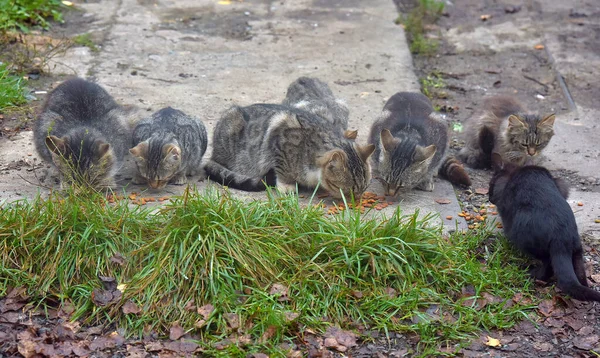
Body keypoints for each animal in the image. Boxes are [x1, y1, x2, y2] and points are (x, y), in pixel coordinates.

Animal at [206, 103, 376, 199]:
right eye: (350, 190)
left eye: (365, 188)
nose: (357, 198)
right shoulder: (279, 138)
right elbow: (283, 170)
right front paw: (286, 186)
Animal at [488, 152, 600, 302]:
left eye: (490, 185)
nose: (489, 198)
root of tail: (562, 239)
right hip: (577, 249)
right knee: (579, 271)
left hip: (526, 240)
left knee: (548, 265)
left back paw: (532, 274)